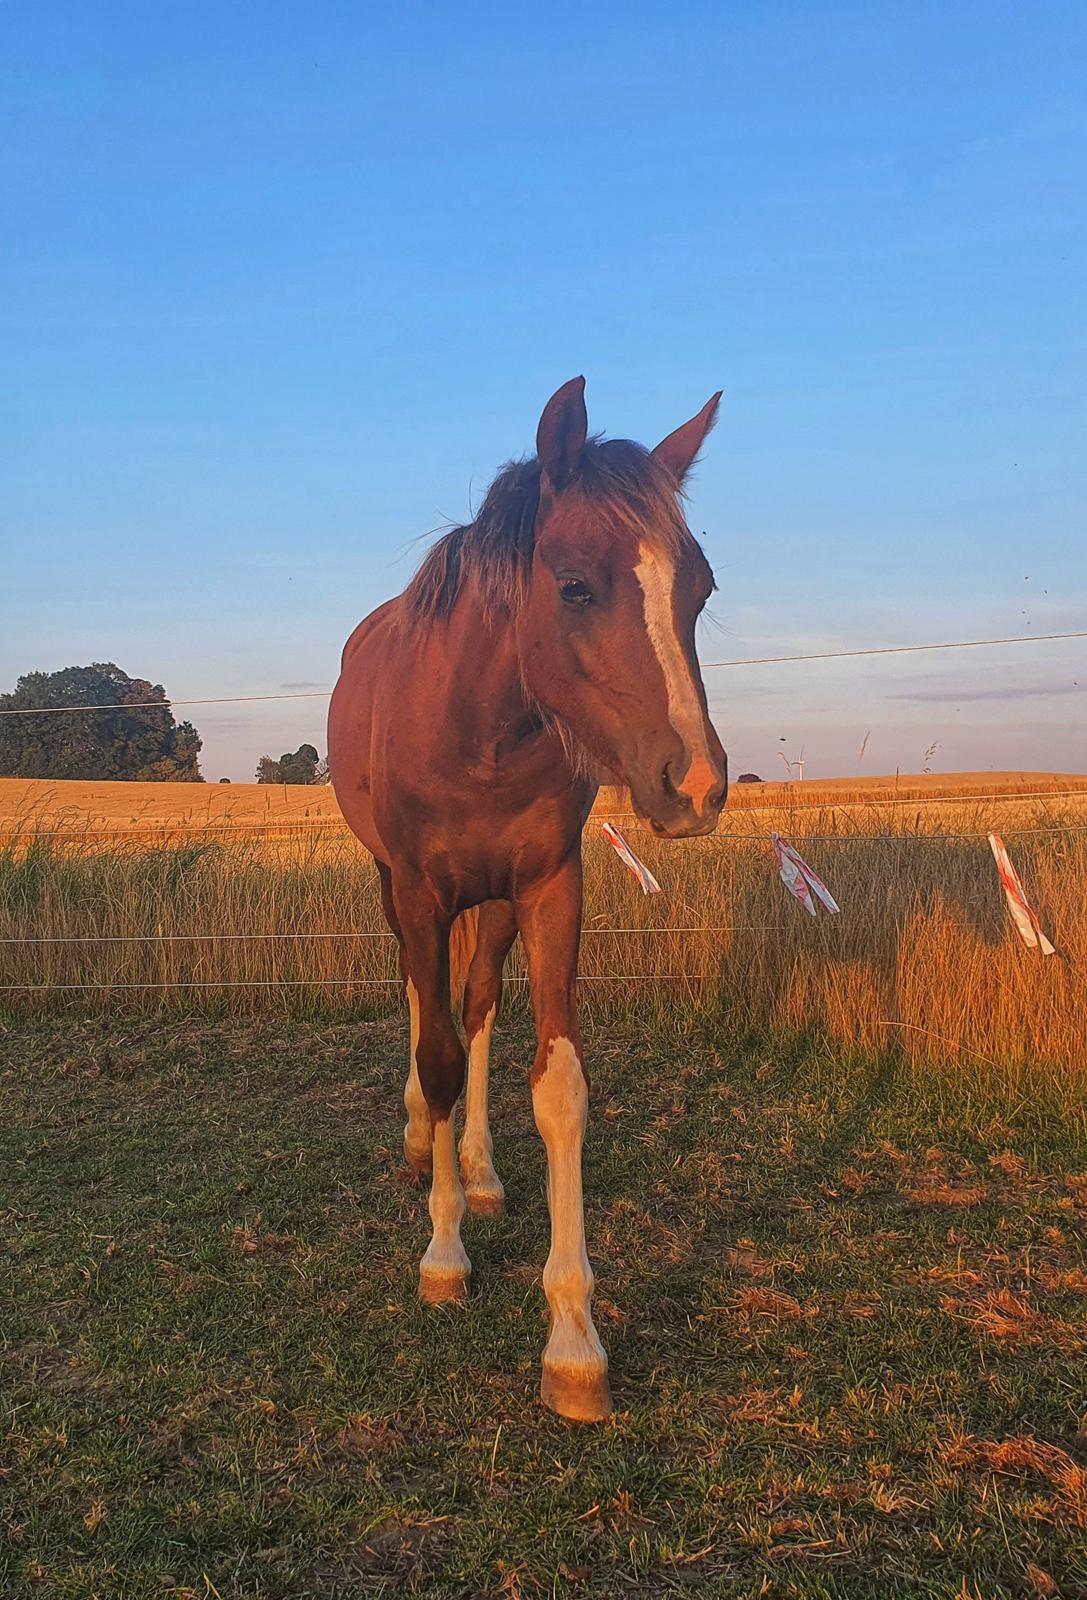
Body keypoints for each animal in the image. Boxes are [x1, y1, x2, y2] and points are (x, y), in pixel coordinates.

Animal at [328, 378, 727, 1421]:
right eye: (575, 585)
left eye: (700, 590)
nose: (696, 786)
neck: (480, 730)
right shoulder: (420, 890)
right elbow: (431, 1053)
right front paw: (442, 1255)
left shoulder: (551, 889)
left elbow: (557, 1087)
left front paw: (574, 1342)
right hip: (400, 894)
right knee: (423, 1004)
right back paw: (423, 1147)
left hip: (496, 903)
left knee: (473, 1005)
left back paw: (475, 1169)